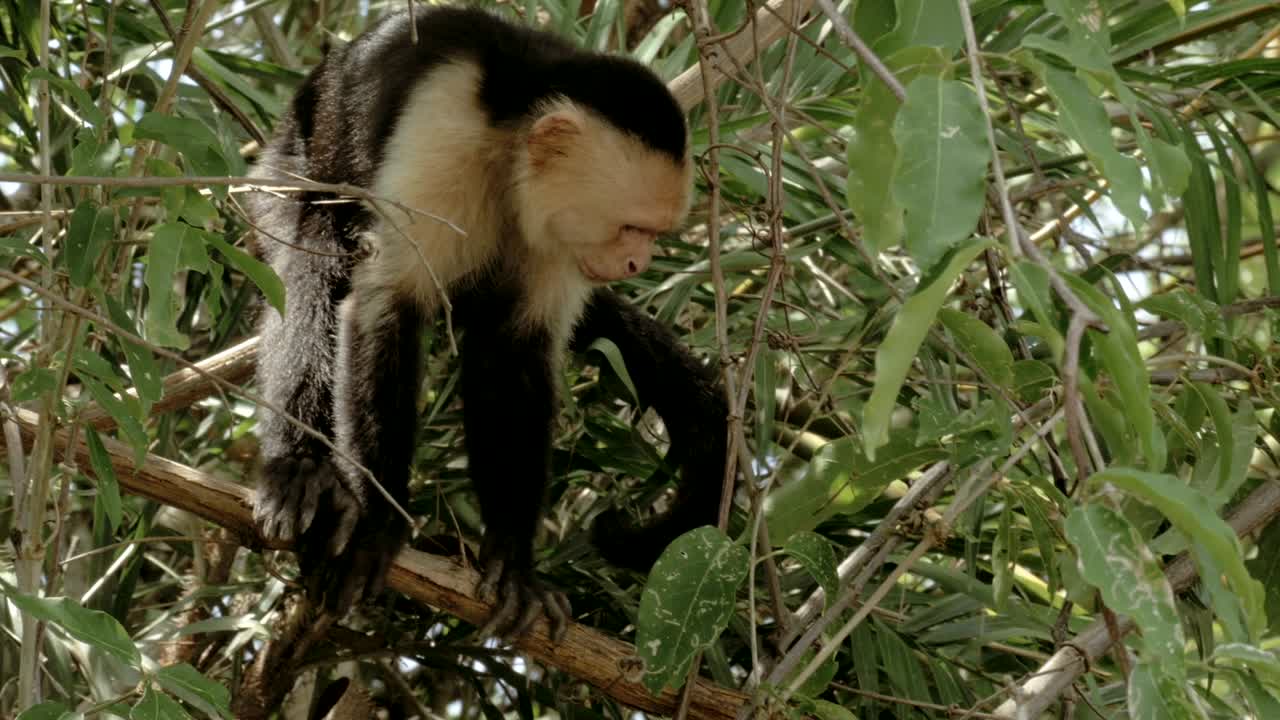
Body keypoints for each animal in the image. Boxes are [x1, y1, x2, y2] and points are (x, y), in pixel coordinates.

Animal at [247, 5, 729, 640]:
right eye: (631, 228)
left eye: (652, 234)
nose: (637, 264)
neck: (509, 141)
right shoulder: (441, 125)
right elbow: (386, 304)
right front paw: (377, 521)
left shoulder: (558, 234)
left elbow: (513, 350)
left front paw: (514, 563)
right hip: (285, 166)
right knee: (314, 257)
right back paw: (299, 470)